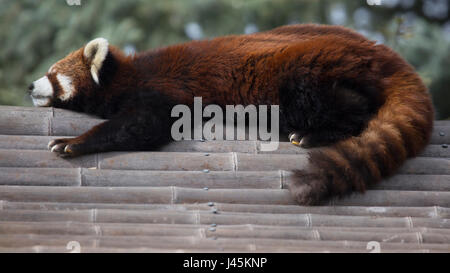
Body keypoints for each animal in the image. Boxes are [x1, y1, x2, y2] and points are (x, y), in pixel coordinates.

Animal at [29, 24, 436, 204]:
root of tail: (381, 53)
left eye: (53, 73)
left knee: (345, 107)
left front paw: (72, 142)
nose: (32, 86)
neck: (125, 75)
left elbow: (143, 126)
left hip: (306, 75)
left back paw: (313, 133)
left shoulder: (163, 91)